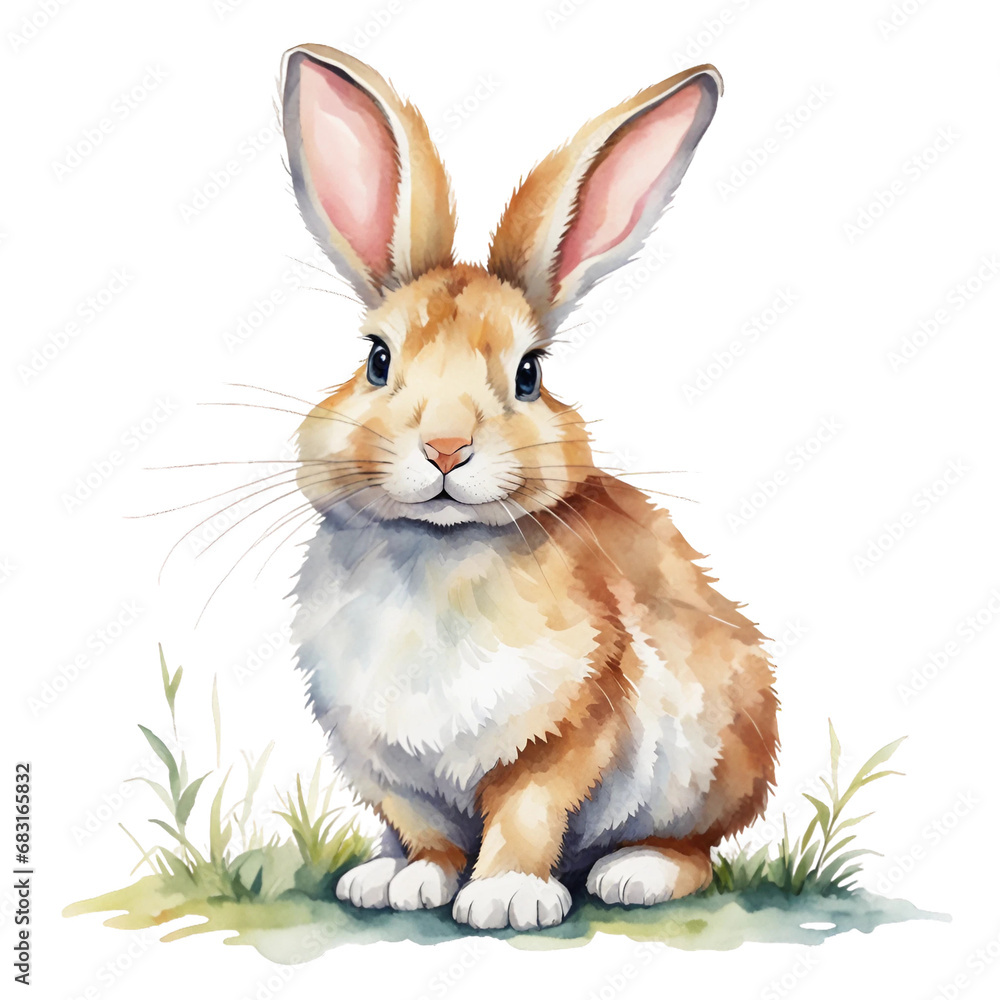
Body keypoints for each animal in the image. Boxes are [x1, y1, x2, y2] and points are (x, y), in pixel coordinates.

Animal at [281, 43, 778, 931]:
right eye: (376, 359)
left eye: (529, 374)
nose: (446, 447)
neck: (437, 553)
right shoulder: (385, 765)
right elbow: (423, 830)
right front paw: (411, 882)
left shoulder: (568, 732)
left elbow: (527, 814)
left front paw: (506, 897)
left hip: (710, 764)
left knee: (696, 852)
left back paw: (636, 873)